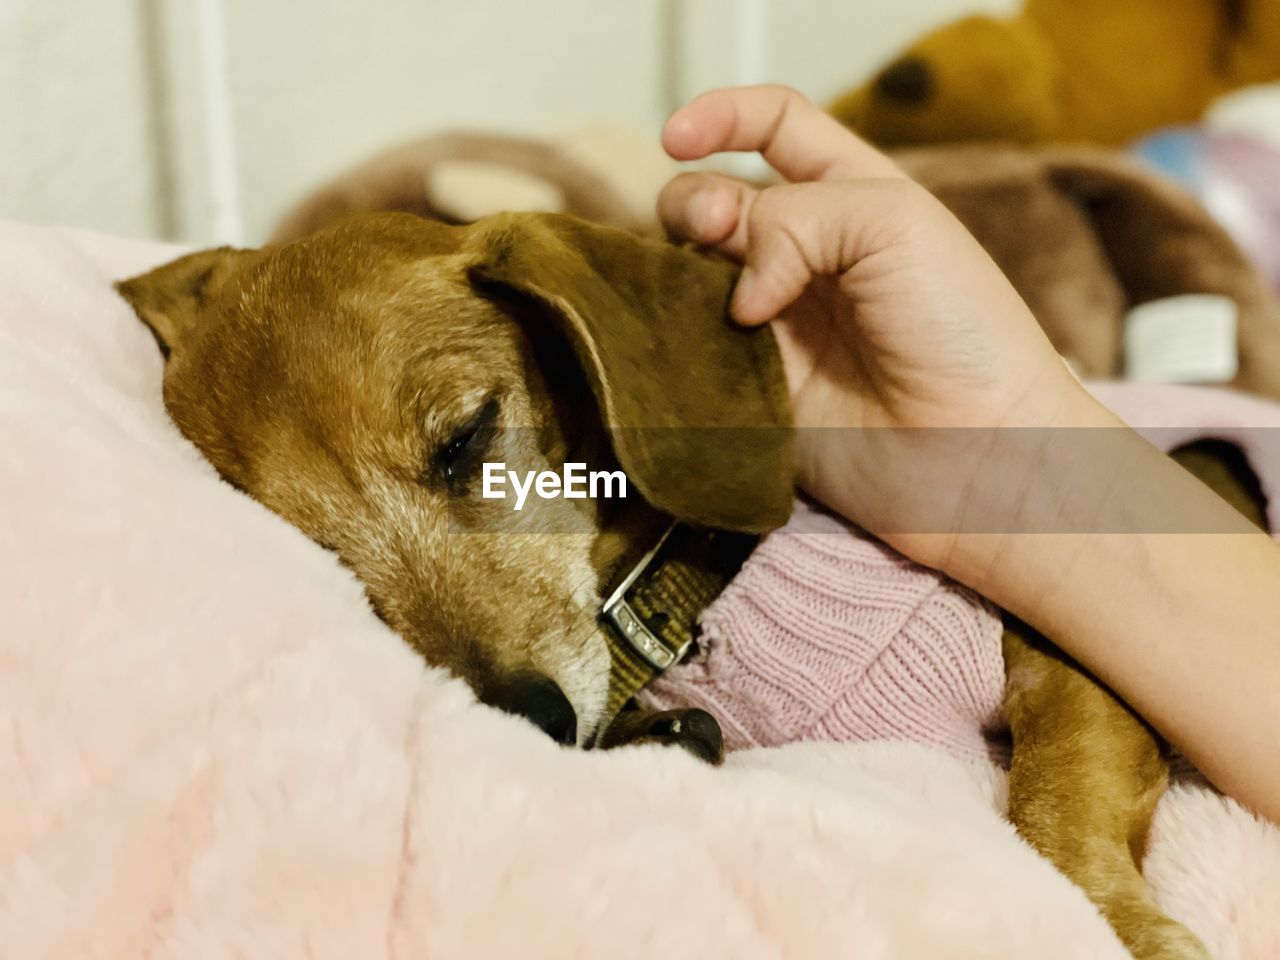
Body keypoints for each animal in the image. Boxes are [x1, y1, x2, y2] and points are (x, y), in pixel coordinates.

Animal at [115, 212, 1254, 960]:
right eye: (325, 557)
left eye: (467, 437)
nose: (531, 720)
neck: (683, 596)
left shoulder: (1058, 653)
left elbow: (1056, 802)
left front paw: (1120, 925)